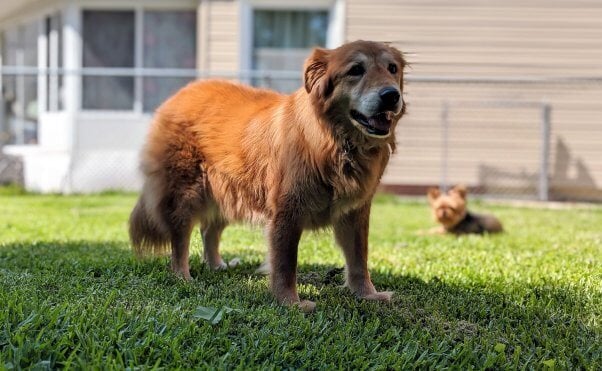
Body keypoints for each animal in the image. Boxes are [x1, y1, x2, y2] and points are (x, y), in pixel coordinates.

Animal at [129, 40, 406, 310]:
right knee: (180, 237)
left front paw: (367, 295)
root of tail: (182, 93)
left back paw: (217, 266)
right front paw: (290, 302)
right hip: (186, 193)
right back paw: (182, 276)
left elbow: (359, 259)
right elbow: (285, 264)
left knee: (209, 230)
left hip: (228, 191)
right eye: (356, 70)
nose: (392, 95)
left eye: (392, 68)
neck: (334, 140)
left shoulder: (355, 213)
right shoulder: (287, 212)